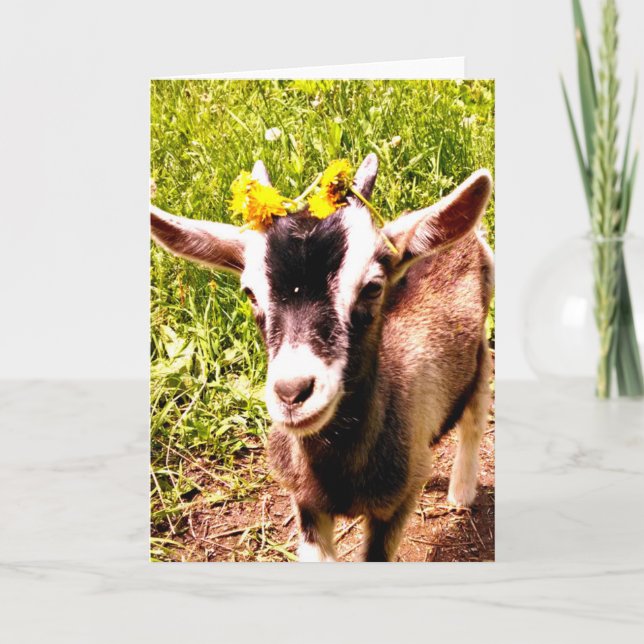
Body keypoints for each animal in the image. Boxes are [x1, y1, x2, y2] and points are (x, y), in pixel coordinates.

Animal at [150, 154, 493, 561]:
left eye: (373, 287)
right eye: (250, 292)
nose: (293, 392)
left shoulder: (396, 502)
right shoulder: (307, 504)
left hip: (480, 356)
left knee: (474, 419)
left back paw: (461, 493)